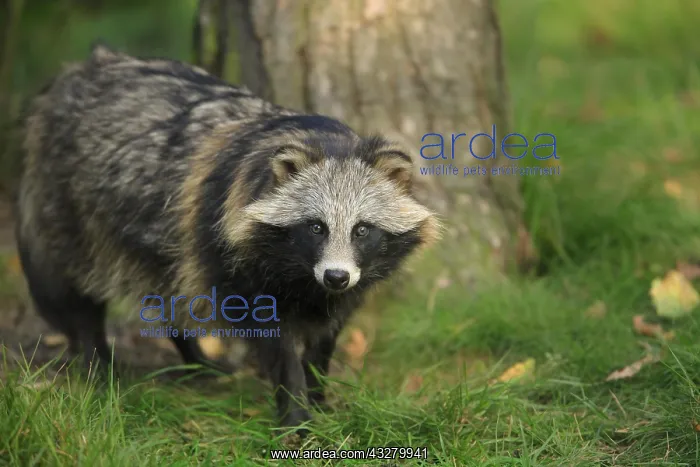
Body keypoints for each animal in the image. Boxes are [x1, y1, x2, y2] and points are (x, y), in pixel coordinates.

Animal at [15, 43, 441, 431]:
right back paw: (96, 361)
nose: (336, 276)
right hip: (71, 208)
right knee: (73, 286)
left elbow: (325, 335)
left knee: (171, 290)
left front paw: (319, 395)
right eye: (316, 227)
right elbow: (275, 340)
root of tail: (74, 73)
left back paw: (193, 358)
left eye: (362, 229)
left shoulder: (350, 280)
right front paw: (295, 412)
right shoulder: (232, 254)